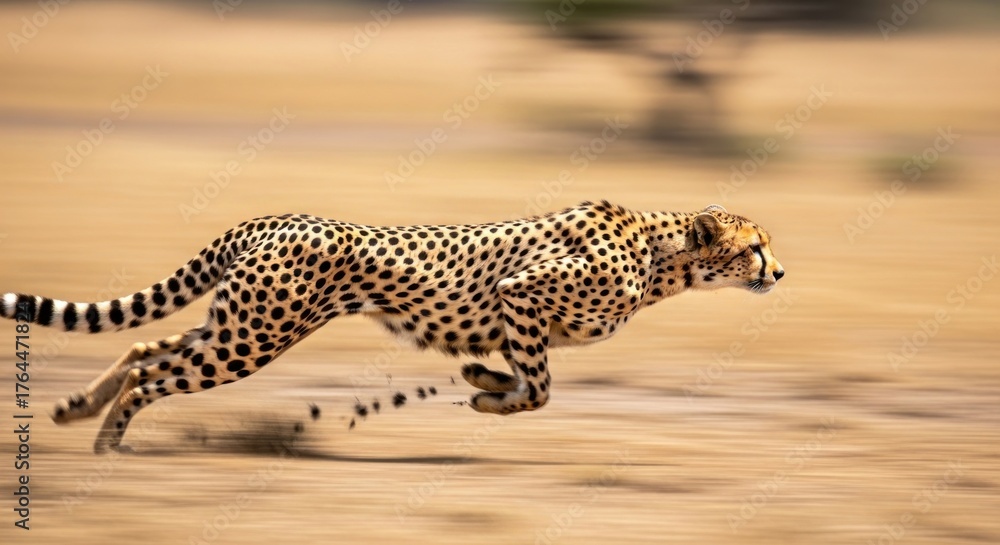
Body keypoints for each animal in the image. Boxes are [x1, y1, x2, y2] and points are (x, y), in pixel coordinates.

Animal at [1, 201, 783, 453]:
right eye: (754, 247)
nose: (779, 273)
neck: (665, 255)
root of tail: (273, 217)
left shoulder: (521, 315)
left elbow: (530, 379)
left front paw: (478, 377)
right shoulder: (519, 293)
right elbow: (539, 387)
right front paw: (485, 391)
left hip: (236, 324)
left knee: (141, 345)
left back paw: (76, 410)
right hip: (252, 338)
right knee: (149, 370)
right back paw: (108, 443)